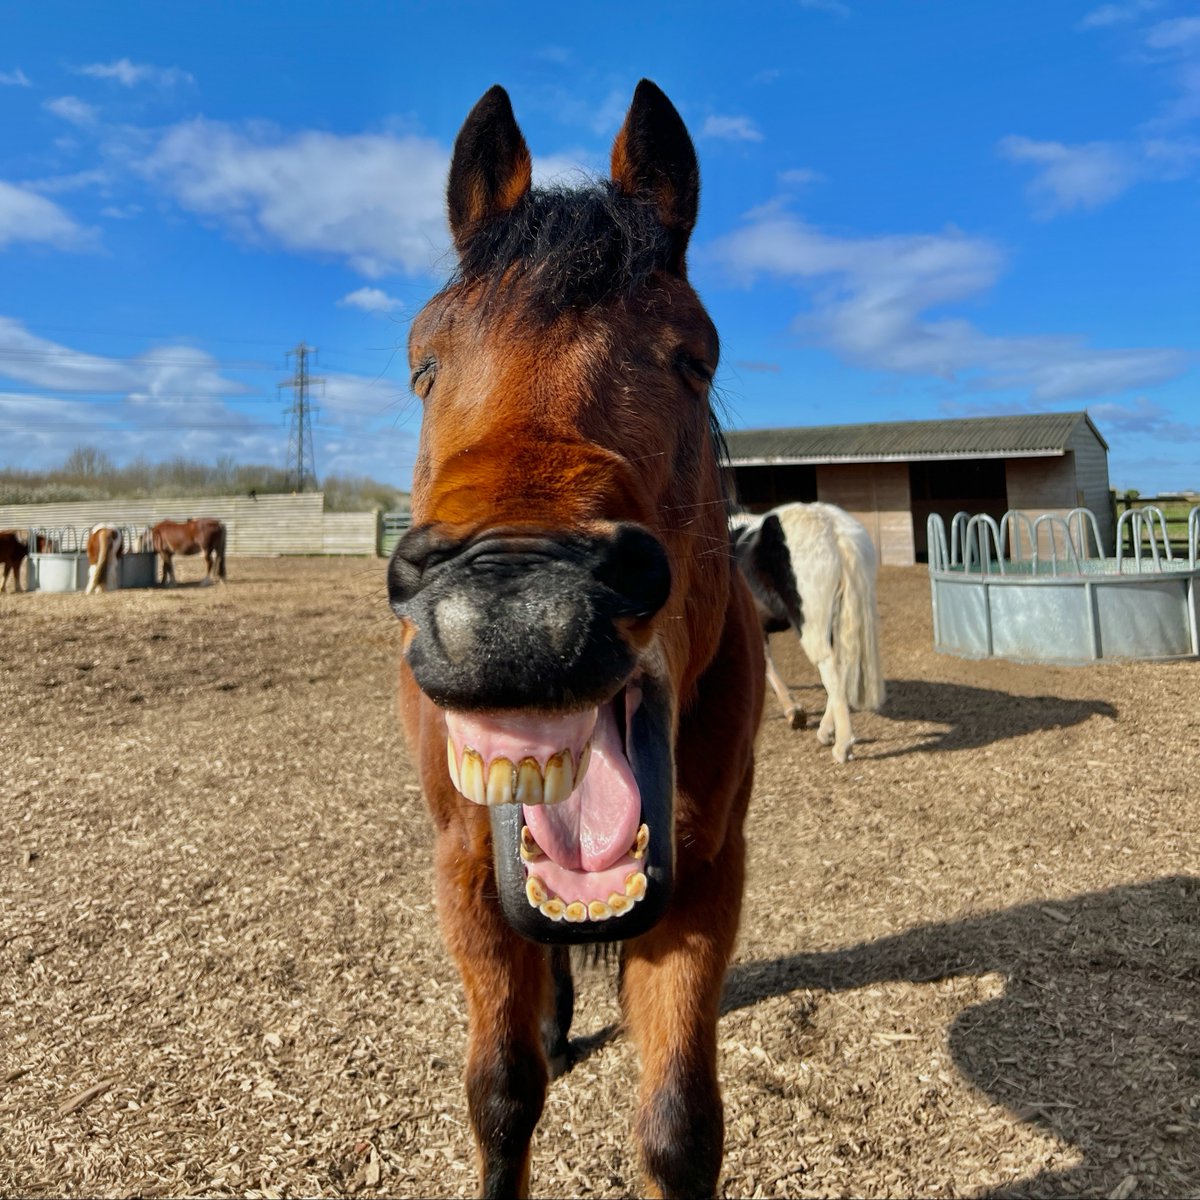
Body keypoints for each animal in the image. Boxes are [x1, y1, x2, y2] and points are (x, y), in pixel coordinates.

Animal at [391, 79, 768, 1195]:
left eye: (695, 359)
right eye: (423, 364)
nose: (515, 609)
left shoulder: (707, 874)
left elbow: (681, 1126)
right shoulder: (463, 868)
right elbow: (502, 1093)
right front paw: (538, 1048)